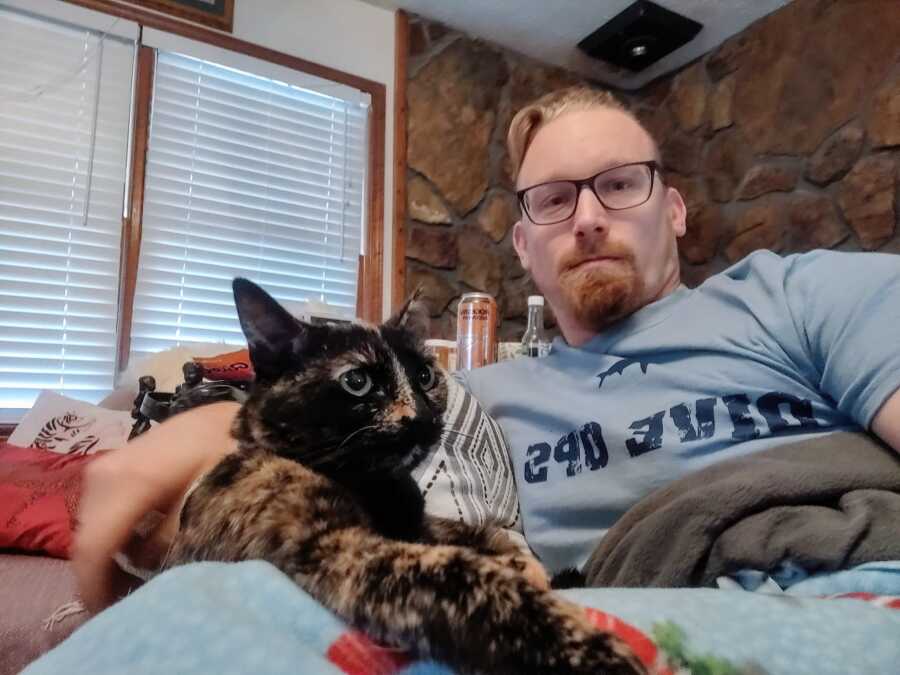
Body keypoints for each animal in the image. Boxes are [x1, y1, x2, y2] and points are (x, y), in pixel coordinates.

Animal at [165, 278, 648, 675]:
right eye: (357, 381)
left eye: (425, 375)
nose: (419, 418)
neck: (378, 485)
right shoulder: (337, 551)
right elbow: (463, 574)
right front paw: (596, 654)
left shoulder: (423, 523)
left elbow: (478, 532)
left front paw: (525, 564)